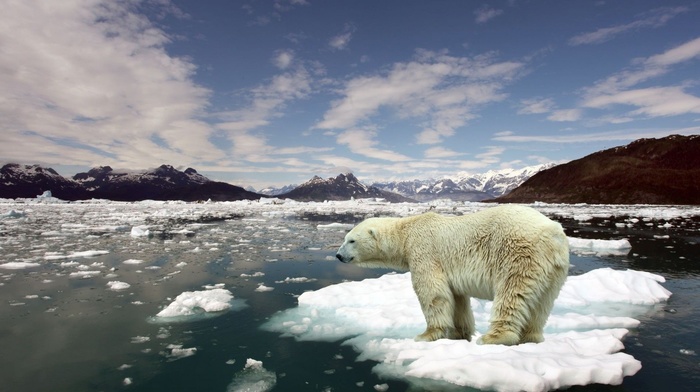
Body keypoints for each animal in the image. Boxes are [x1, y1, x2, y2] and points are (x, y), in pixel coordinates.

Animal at [336, 205, 572, 346]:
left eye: (351, 240)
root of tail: (553, 233)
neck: (406, 233)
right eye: (345, 238)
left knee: (512, 294)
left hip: (518, 254)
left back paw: (493, 337)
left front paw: (426, 335)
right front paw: (459, 333)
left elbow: (432, 293)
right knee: (542, 303)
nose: (338, 255)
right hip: (554, 270)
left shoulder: (424, 252)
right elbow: (457, 299)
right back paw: (531, 337)